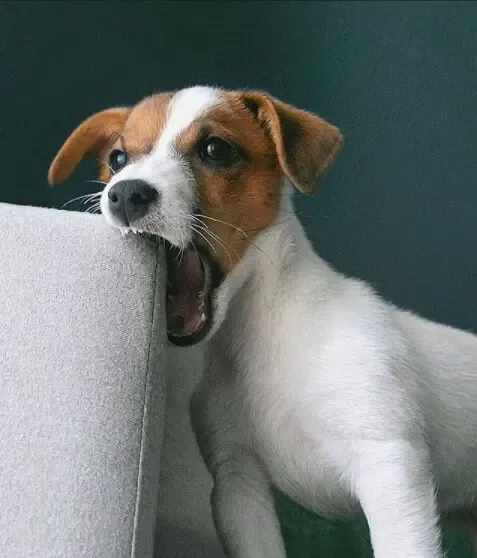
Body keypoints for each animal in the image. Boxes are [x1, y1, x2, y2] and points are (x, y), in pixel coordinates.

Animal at [49, 86, 477, 557]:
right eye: (119, 158)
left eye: (215, 149)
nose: (125, 194)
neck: (263, 331)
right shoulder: (239, 484)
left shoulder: (390, 467)